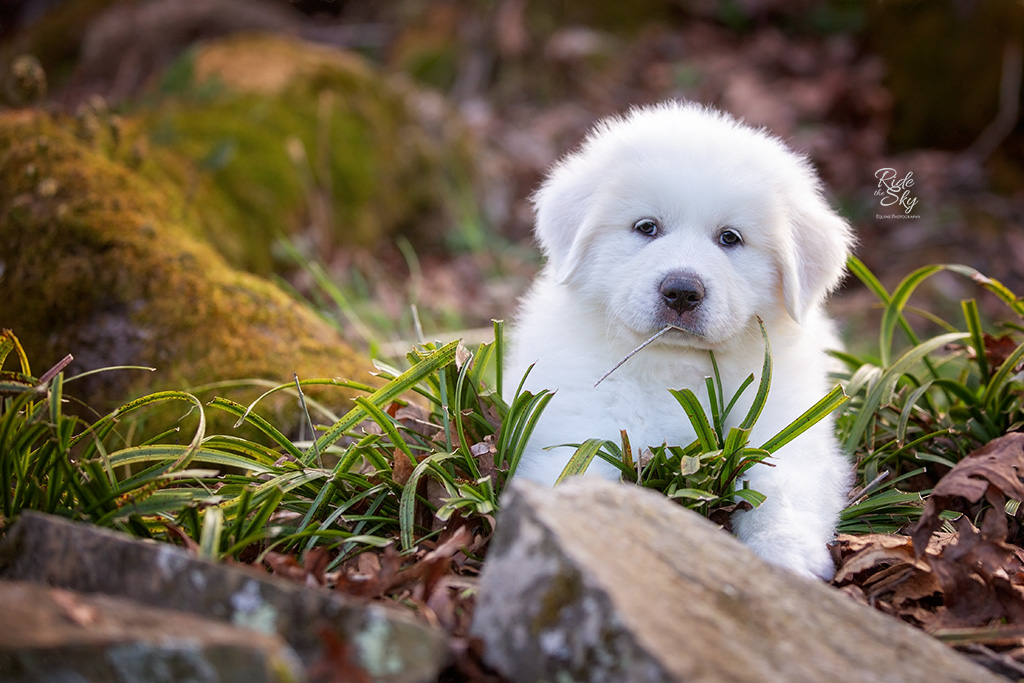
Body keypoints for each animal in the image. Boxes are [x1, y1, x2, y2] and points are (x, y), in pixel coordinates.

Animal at [509, 102, 856, 581]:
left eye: (730, 238)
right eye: (646, 227)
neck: (675, 365)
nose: (681, 292)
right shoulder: (580, 427)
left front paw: (786, 556)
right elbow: (579, 475)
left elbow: (779, 485)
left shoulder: (788, 425)